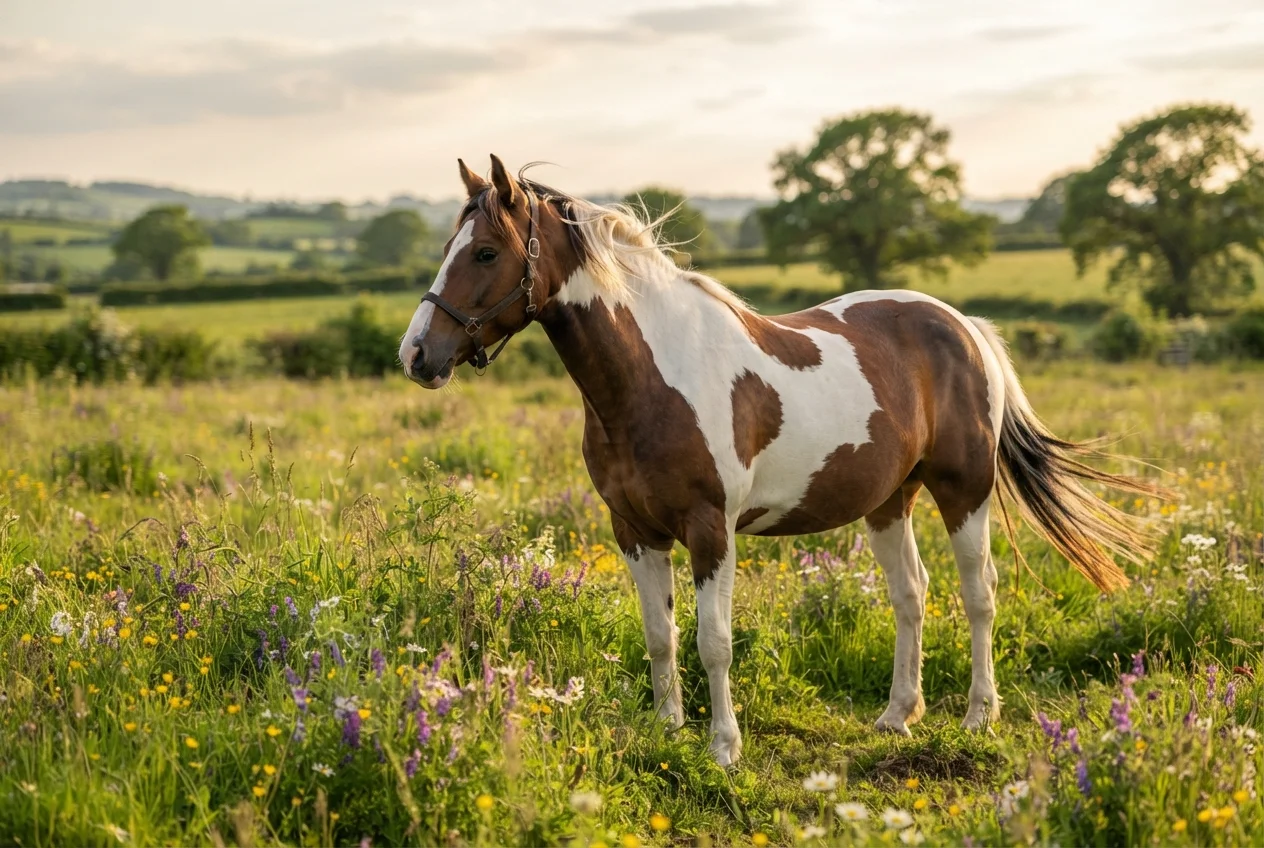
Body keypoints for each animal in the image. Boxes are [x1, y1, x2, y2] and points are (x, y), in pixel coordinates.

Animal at [399, 155, 1155, 766]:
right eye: (450, 247)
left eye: (486, 253)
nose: (417, 354)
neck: (652, 375)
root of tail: (963, 325)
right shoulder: (634, 531)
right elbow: (660, 636)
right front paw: (668, 732)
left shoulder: (711, 530)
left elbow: (713, 641)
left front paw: (724, 747)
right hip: (889, 502)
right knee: (911, 595)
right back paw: (897, 716)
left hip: (963, 492)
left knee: (979, 595)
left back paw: (977, 715)